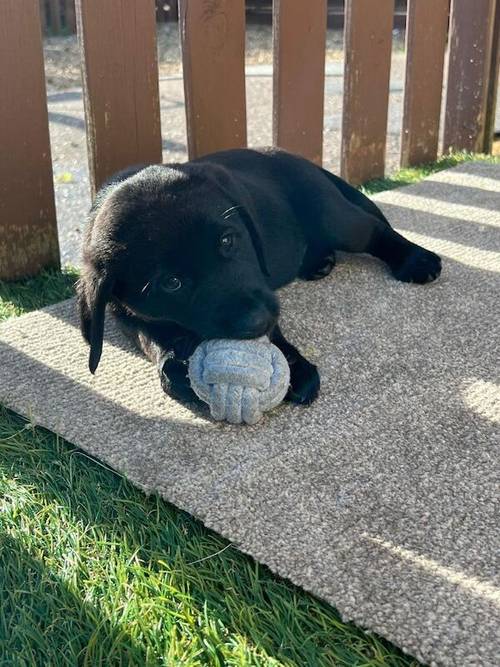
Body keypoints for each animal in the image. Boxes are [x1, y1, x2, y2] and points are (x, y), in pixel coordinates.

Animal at [76, 147, 440, 408]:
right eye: (171, 283)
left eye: (227, 241)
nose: (256, 319)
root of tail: (293, 156)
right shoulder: (123, 312)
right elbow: (149, 336)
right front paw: (173, 365)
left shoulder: (260, 286)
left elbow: (273, 330)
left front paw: (294, 367)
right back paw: (318, 262)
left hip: (331, 214)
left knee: (375, 230)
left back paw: (415, 259)